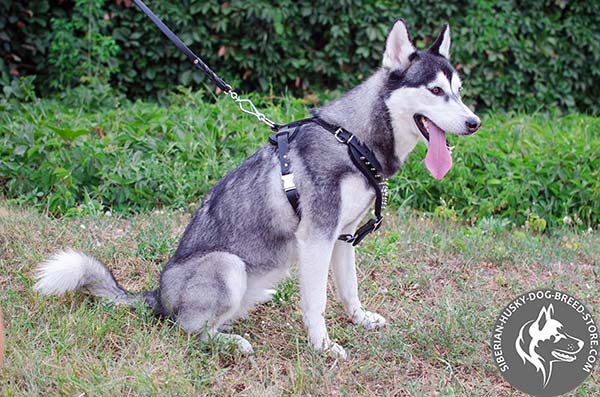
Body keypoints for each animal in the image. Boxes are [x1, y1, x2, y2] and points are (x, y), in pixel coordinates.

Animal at [35, 20, 480, 358]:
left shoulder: (344, 236)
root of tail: (158, 296)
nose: (475, 122)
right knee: (189, 329)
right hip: (226, 266)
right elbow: (316, 301)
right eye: (435, 91)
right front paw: (322, 347)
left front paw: (359, 319)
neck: (353, 140)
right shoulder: (316, 238)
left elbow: (349, 290)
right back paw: (230, 342)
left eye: (458, 90)